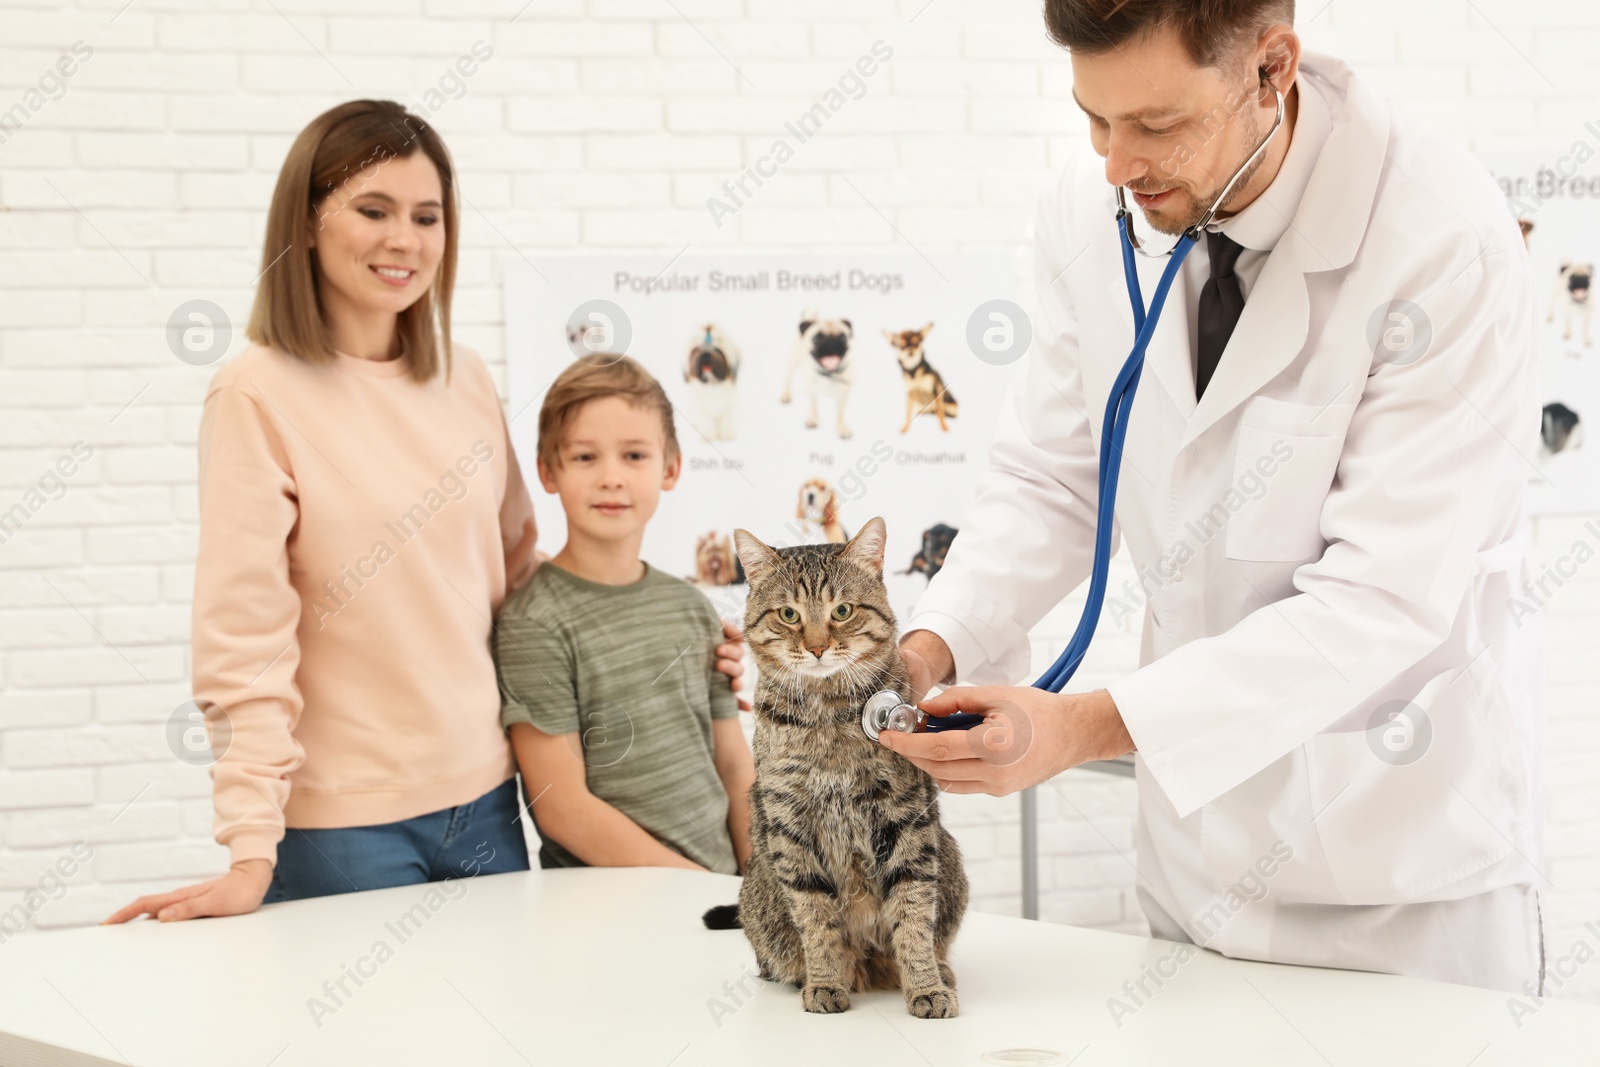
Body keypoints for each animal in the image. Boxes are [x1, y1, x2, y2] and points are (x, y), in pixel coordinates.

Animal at [704, 518, 972, 1017]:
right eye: (788, 615)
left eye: (842, 611)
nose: (817, 647)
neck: (828, 715)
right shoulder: (790, 826)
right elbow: (816, 917)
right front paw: (826, 980)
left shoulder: (906, 819)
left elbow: (912, 913)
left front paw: (924, 985)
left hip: (950, 859)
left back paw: (938, 970)